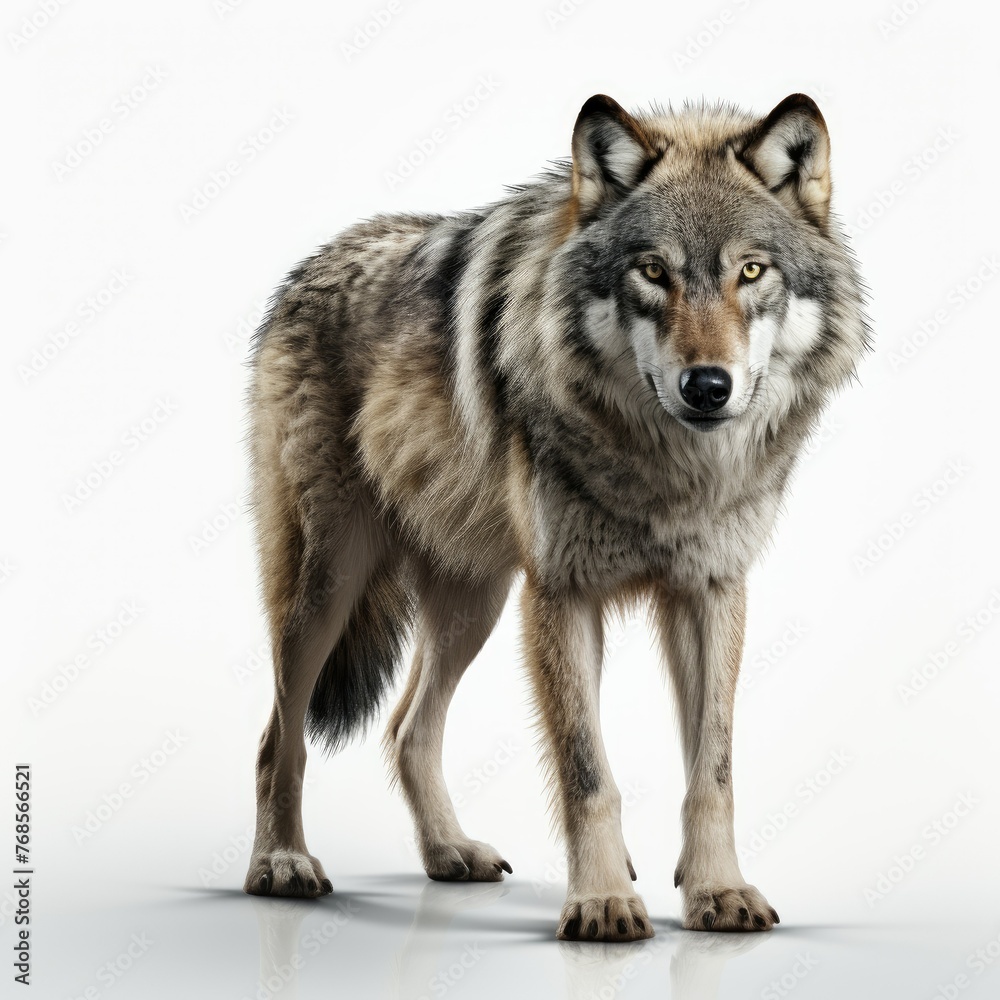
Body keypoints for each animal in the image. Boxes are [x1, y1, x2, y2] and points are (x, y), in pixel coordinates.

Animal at [242, 92, 869, 941]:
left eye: (751, 270)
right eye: (653, 271)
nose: (709, 386)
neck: (666, 470)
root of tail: (311, 262)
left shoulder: (711, 591)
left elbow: (713, 770)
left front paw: (718, 891)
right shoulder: (564, 595)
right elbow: (587, 772)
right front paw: (602, 901)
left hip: (476, 602)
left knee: (406, 728)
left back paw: (448, 853)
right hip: (328, 585)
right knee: (279, 737)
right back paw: (281, 864)